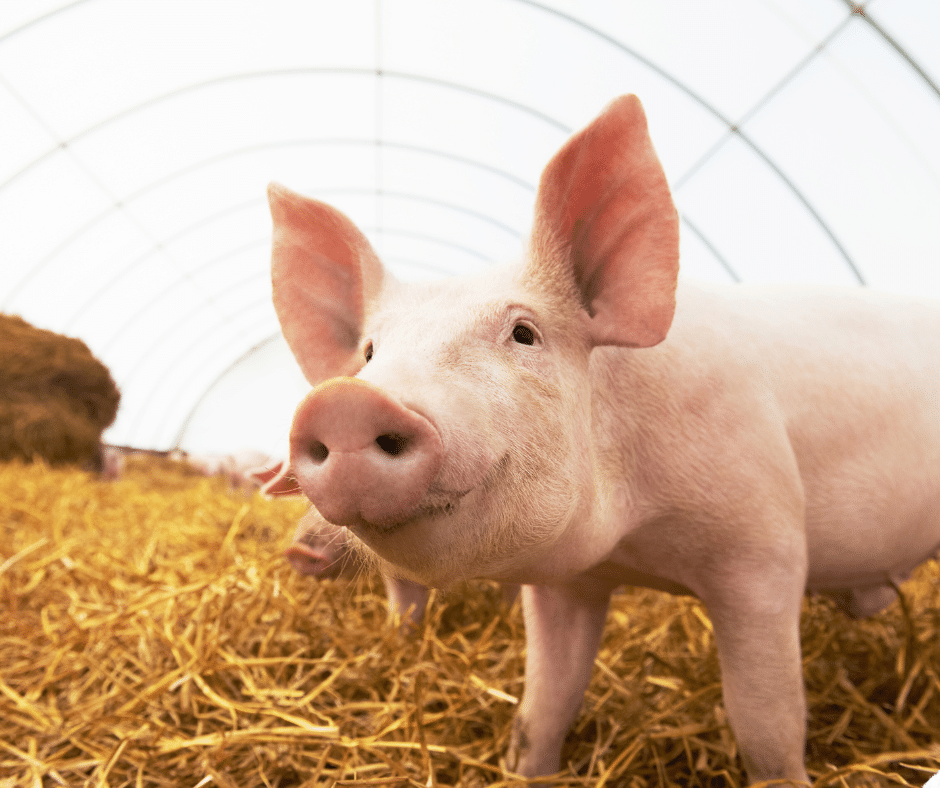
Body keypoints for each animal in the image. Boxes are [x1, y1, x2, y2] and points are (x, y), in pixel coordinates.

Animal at [269, 95, 940, 785]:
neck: (636, 542)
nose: (343, 403)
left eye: (524, 333)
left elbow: (764, 721)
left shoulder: (765, 548)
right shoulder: (564, 583)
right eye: (370, 353)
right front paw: (527, 766)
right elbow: (544, 705)